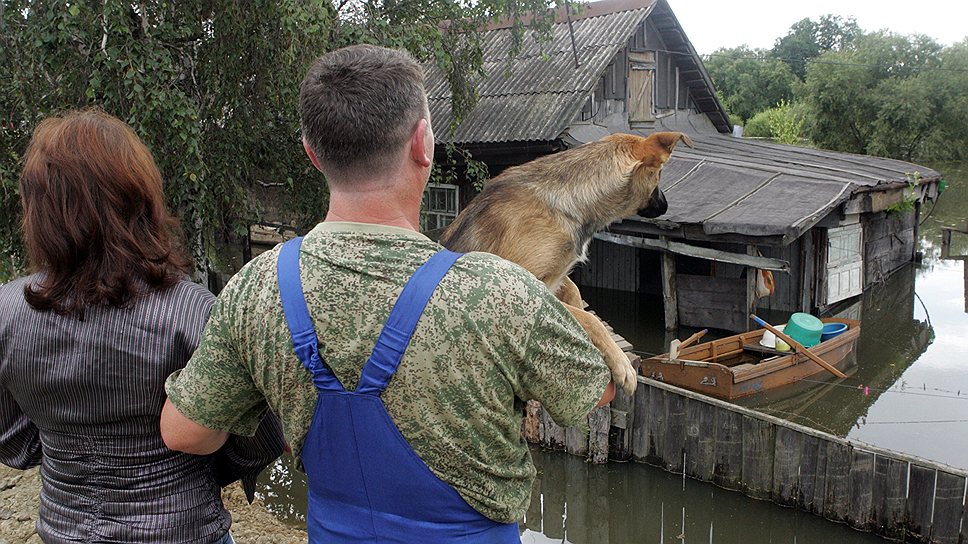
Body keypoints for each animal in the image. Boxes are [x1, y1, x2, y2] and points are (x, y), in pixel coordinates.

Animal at [442, 132, 692, 396]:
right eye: (659, 174)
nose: (666, 205)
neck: (563, 203)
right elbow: (591, 319)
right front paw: (621, 362)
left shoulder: (556, 276)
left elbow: (575, 292)